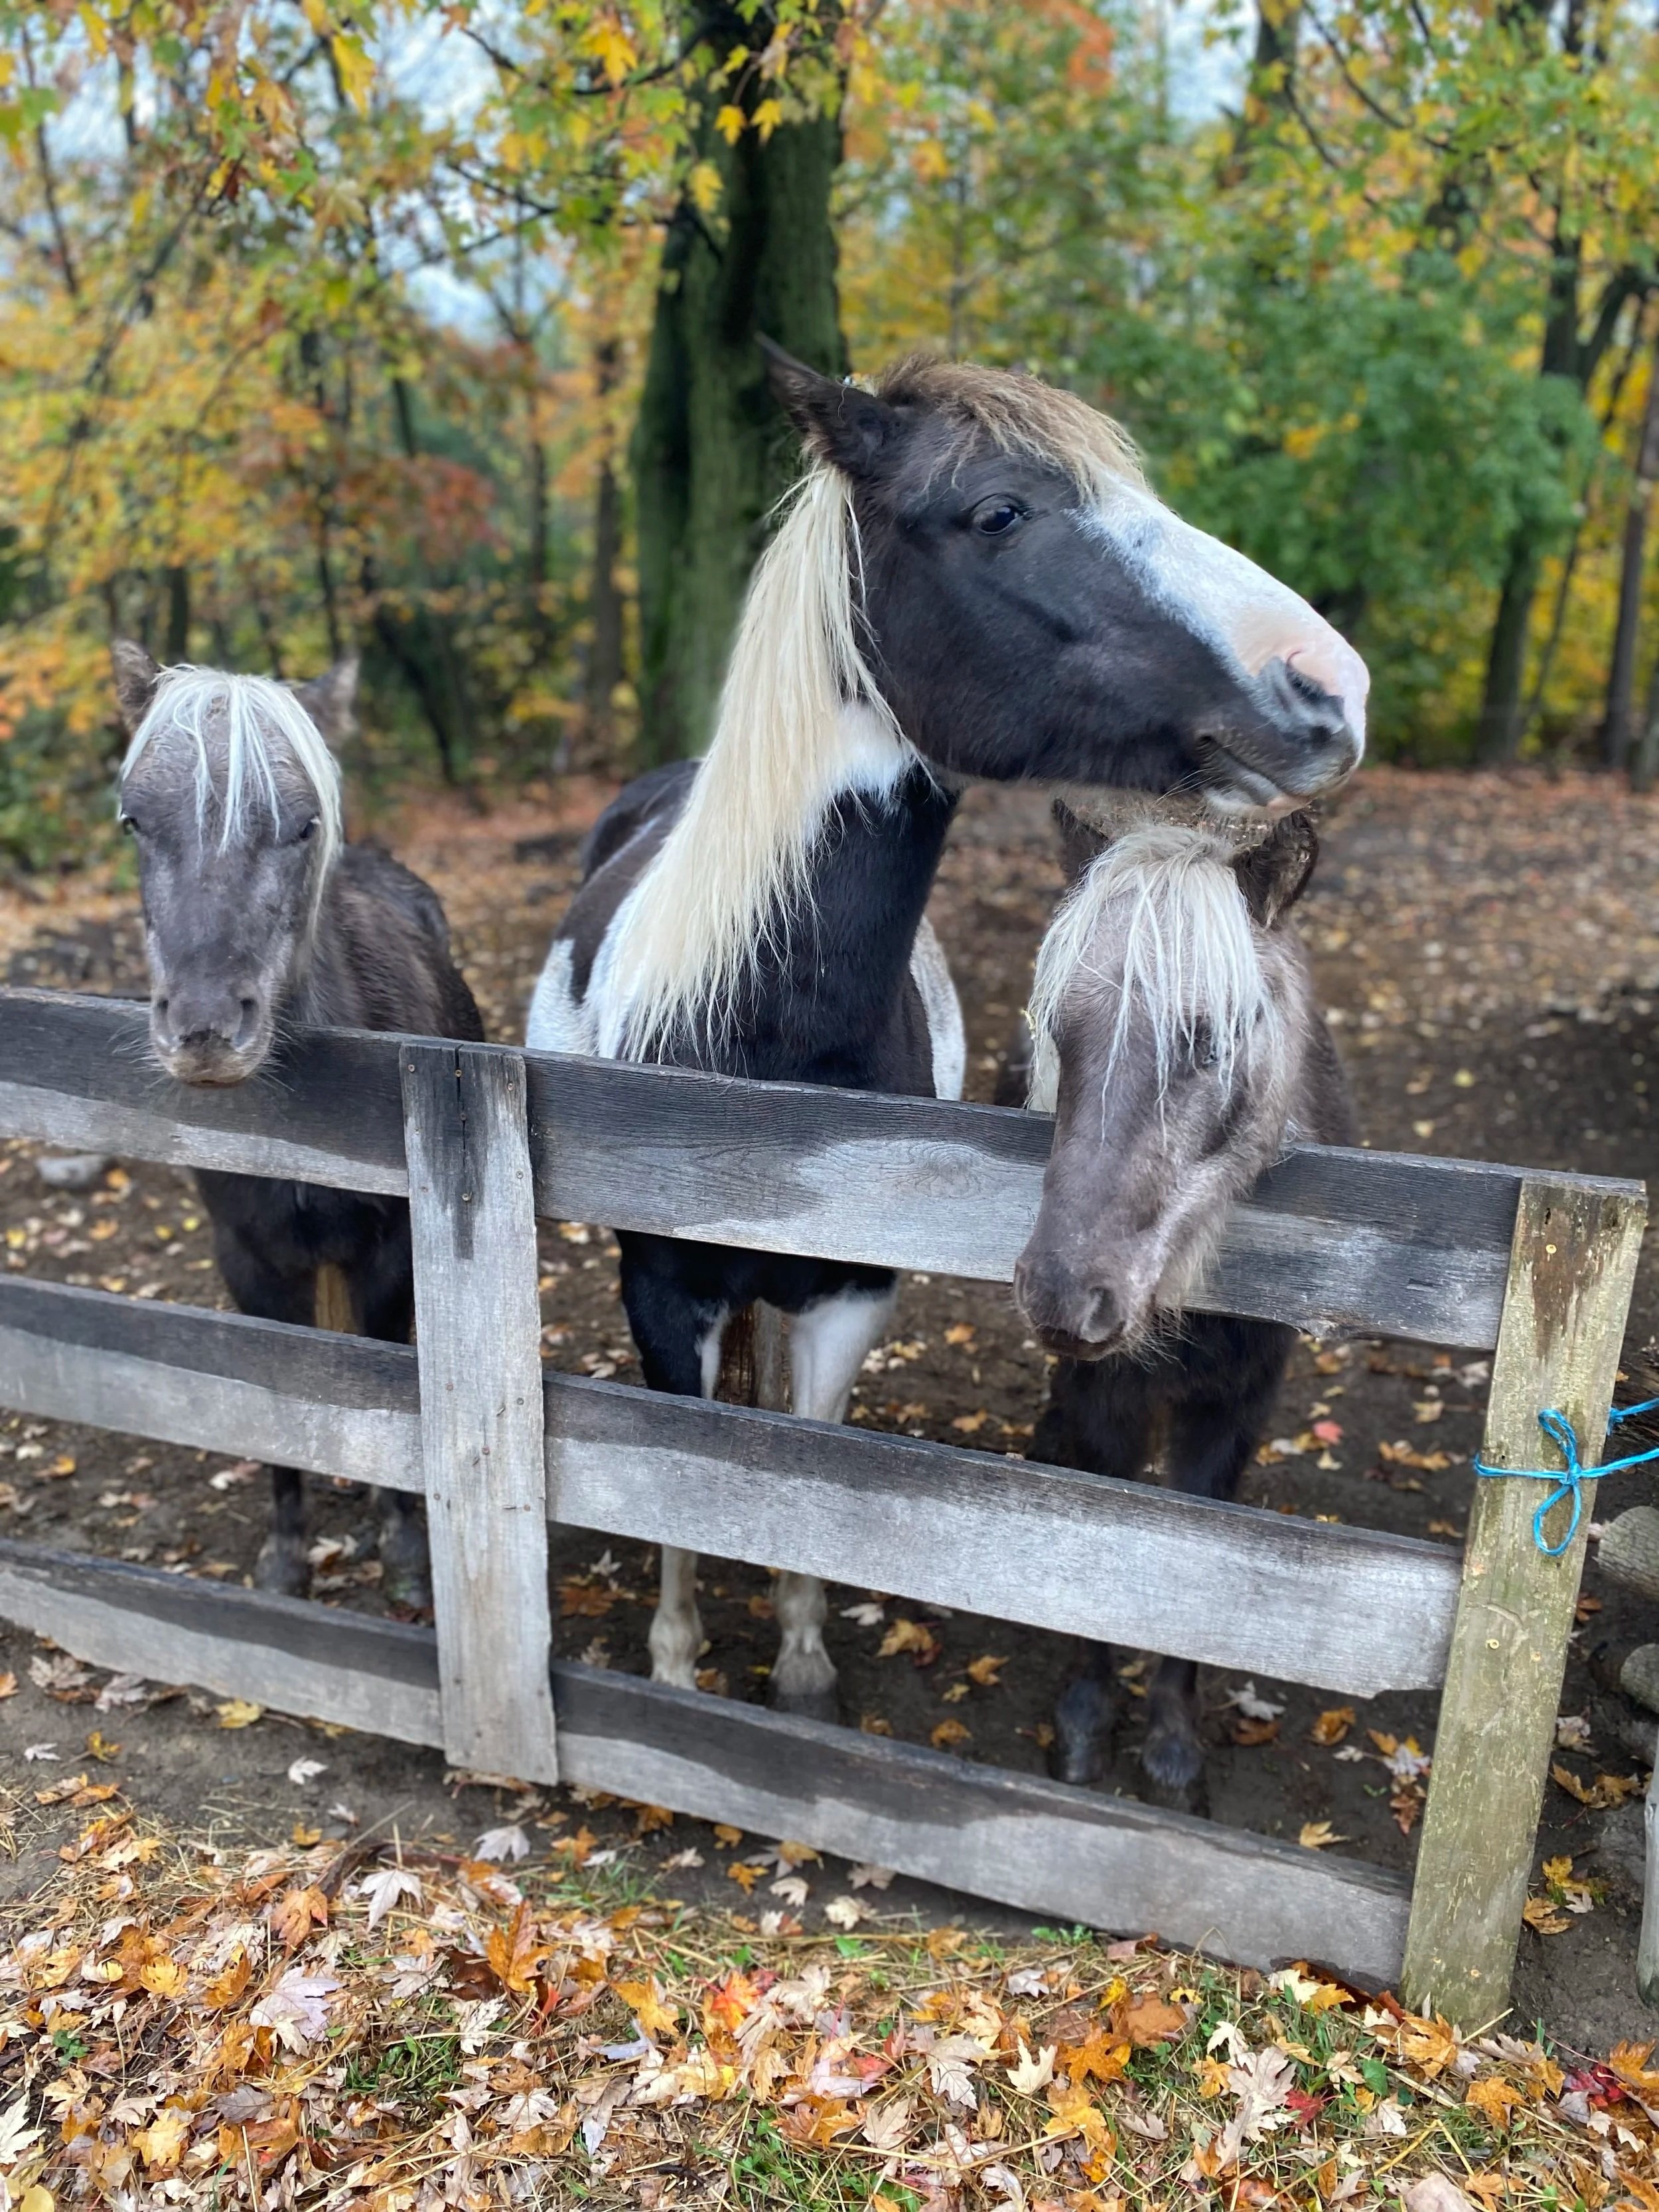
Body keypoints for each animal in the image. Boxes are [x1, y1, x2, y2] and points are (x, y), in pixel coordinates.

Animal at [110, 645, 485, 1606]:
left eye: (305, 824)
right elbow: (273, 1397)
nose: (205, 1031)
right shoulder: (246, 1260)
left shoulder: (388, 1254)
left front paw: (406, 1547)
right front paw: (286, 1556)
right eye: (134, 821)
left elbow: (387, 1375)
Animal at [1012, 798, 1355, 1803]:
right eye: (1059, 1031)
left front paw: (1170, 1743)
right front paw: (1086, 1719)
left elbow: (1192, 1549)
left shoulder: (1234, 1410)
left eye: (1208, 1039)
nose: (1064, 1295)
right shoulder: (1103, 1397)